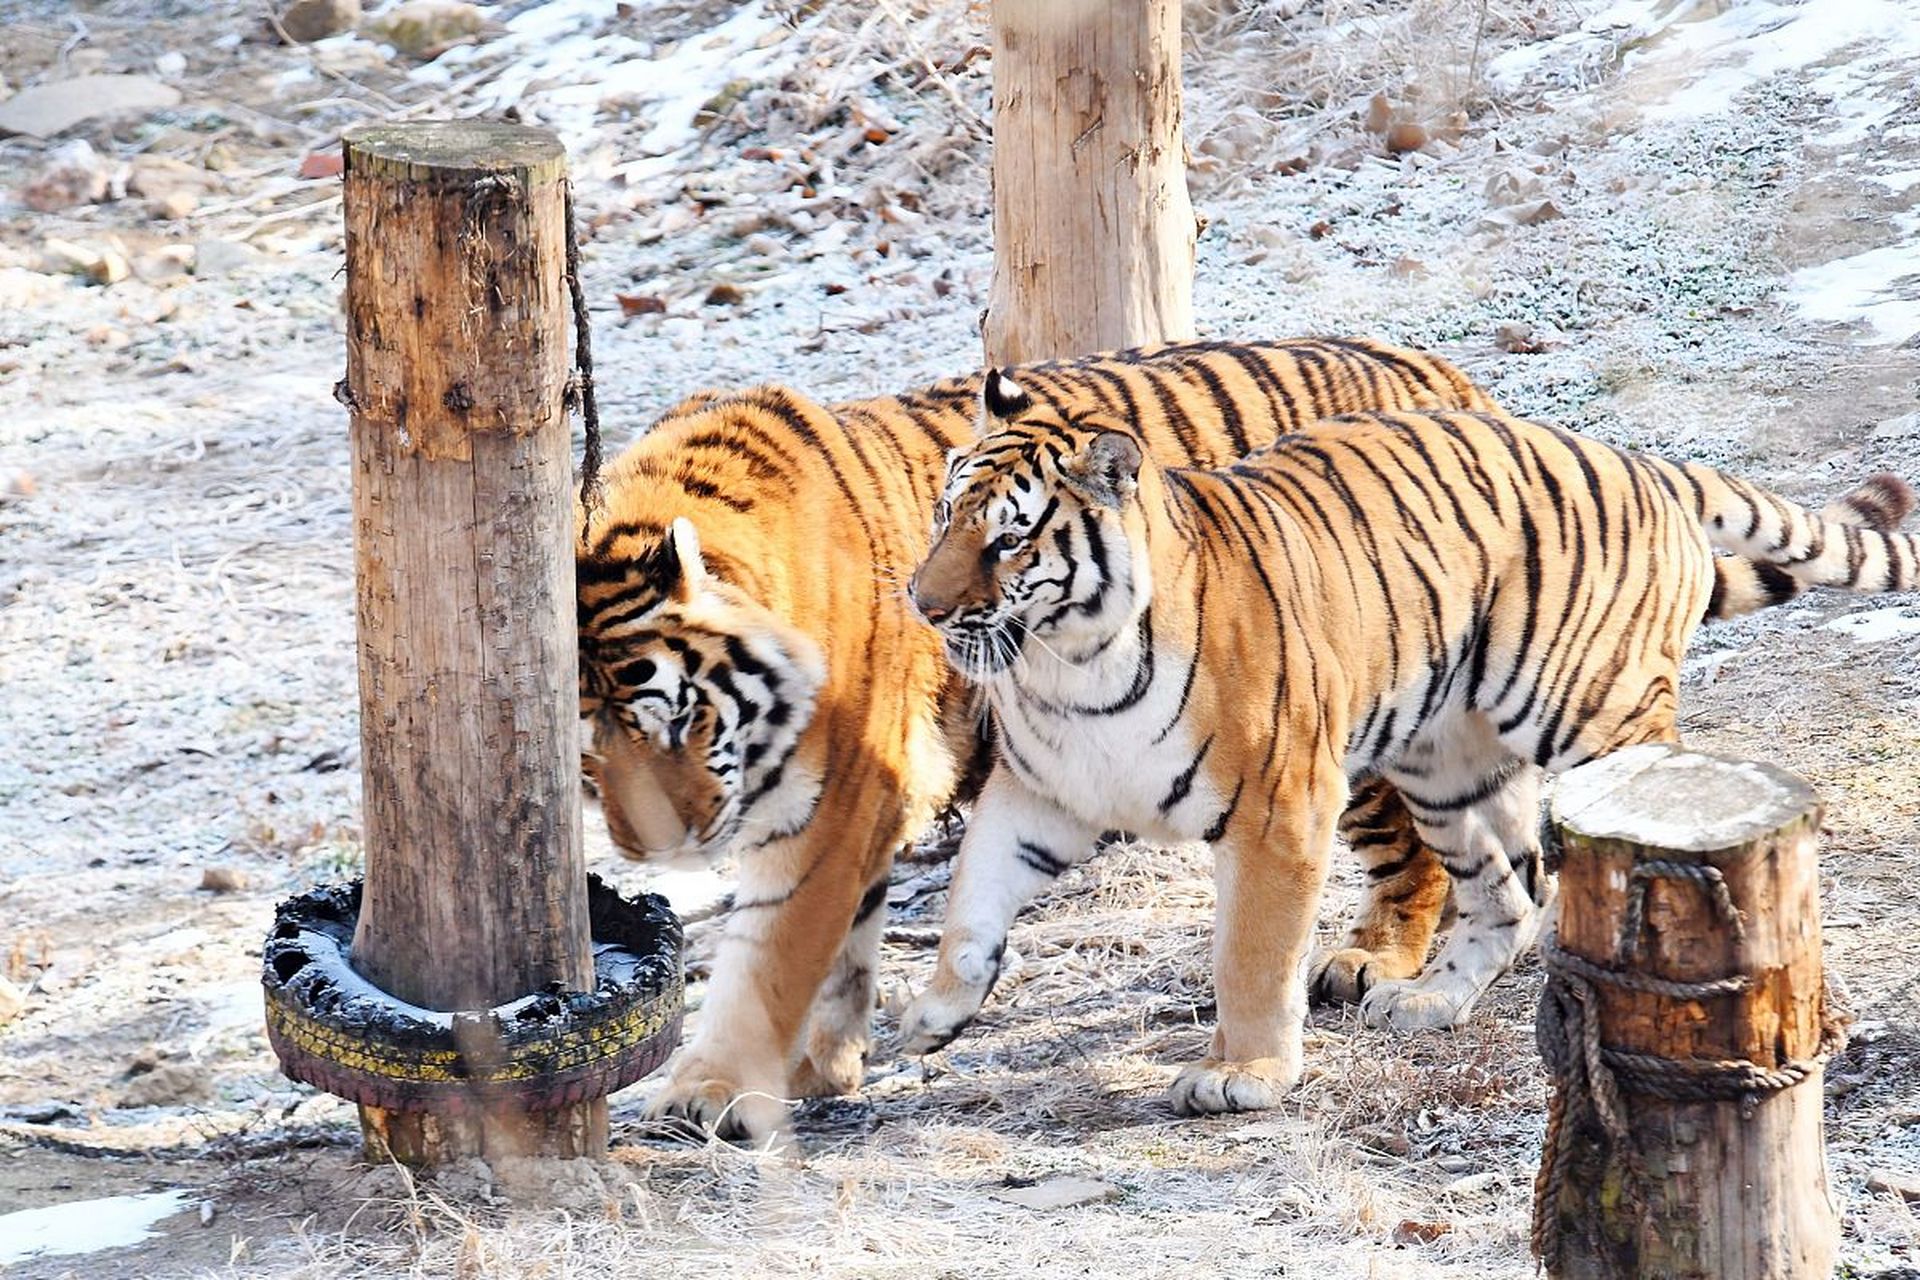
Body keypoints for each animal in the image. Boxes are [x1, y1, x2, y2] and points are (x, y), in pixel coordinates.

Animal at [576, 337, 1505, 1143]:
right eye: (589, 756)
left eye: (678, 718)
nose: (654, 850)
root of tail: (1448, 377)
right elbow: (846, 948)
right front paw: (822, 1065)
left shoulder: (841, 798)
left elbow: (770, 953)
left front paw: (711, 1088)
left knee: (1411, 846)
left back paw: (1373, 959)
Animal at [902, 368, 1920, 1113]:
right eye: (945, 515)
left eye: (1009, 542)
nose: (923, 604)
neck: (1069, 663)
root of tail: (1640, 461)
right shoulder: (1040, 795)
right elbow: (969, 907)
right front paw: (928, 1016)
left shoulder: (1277, 812)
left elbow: (1251, 956)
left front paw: (1243, 1074)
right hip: (1443, 768)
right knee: (1508, 892)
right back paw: (1429, 1000)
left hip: (1592, 717)